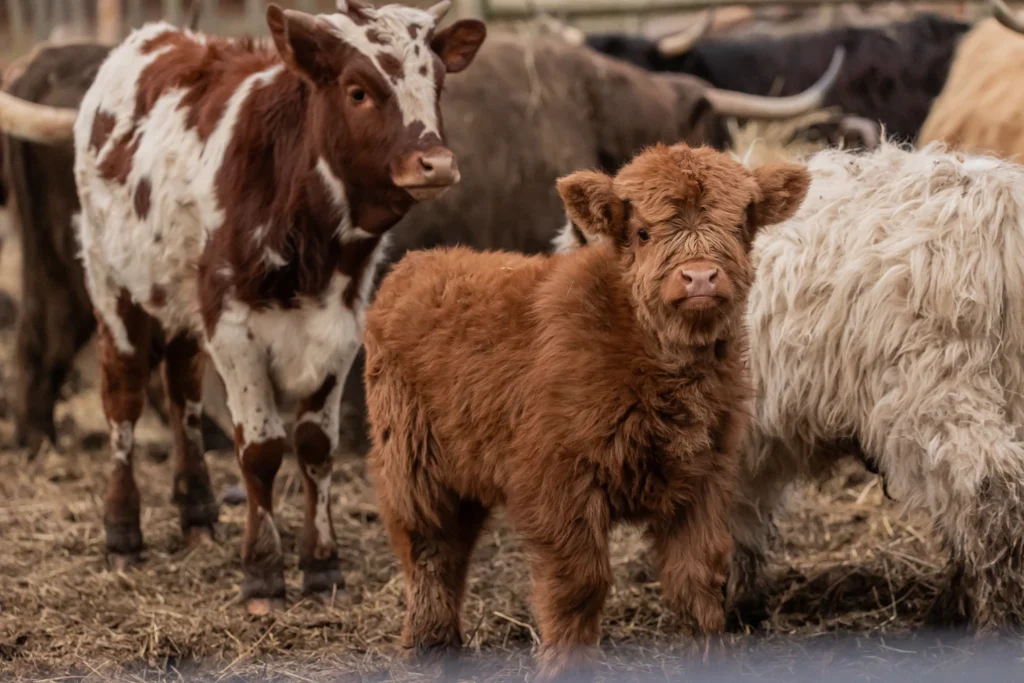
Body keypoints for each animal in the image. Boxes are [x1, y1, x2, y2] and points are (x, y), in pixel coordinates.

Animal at [363, 142, 809, 681]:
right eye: (642, 232)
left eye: (742, 224)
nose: (700, 276)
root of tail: (418, 262)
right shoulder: (558, 483)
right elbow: (579, 583)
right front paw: (567, 667)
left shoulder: (706, 476)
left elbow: (699, 577)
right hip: (412, 464)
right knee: (430, 549)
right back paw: (428, 646)